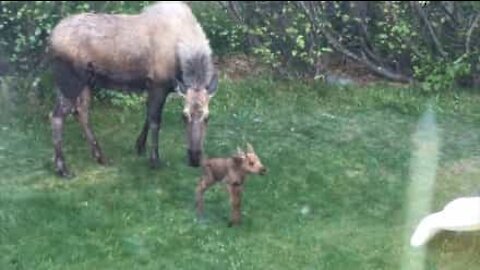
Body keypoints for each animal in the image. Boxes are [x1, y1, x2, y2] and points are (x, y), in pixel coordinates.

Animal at [48, 1, 218, 179]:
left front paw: (140, 146)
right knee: (57, 116)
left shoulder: (155, 87)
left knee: (81, 112)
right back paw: (62, 168)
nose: (194, 159)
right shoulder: (158, 85)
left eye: (208, 117)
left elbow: (148, 116)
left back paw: (100, 156)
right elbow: (155, 121)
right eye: (184, 116)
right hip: (69, 81)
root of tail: (50, 40)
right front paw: (154, 159)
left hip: (86, 82)